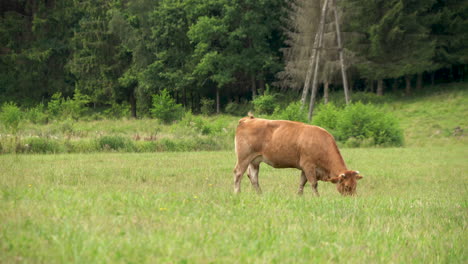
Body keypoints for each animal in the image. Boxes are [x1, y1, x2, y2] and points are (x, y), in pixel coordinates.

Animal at [233, 114, 362, 196]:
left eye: (355, 185)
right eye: (347, 186)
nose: (352, 199)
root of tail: (248, 119)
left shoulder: (305, 168)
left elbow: (302, 183)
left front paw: (299, 196)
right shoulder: (308, 166)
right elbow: (313, 183)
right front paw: (317, 197)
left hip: (255, 160)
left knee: (253, 176)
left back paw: (260, 194)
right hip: (244, 157)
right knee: (238, 173)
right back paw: (237, 193)